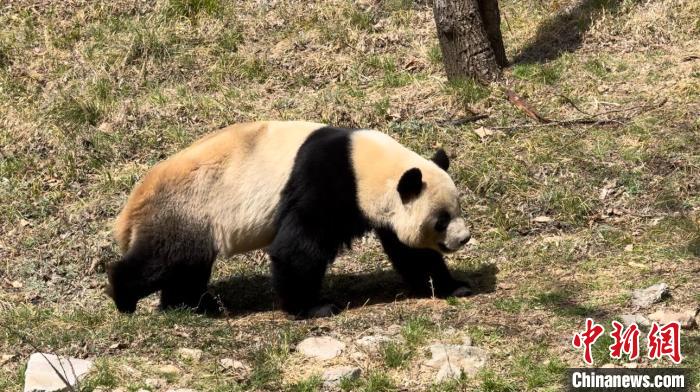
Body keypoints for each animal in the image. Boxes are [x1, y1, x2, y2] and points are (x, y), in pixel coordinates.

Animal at [108, 120, 470, 318]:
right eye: (441, 220)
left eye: (457, 210)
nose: (463, 238)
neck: (365, 163)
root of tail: (132, 204)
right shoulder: (324, 180)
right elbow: (299, 246)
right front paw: (313, 308)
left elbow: (412, 253)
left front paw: (453, 287)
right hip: (186, 207)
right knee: (166, 257)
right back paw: (124, 296)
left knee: (187, 267)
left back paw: (189, 305)